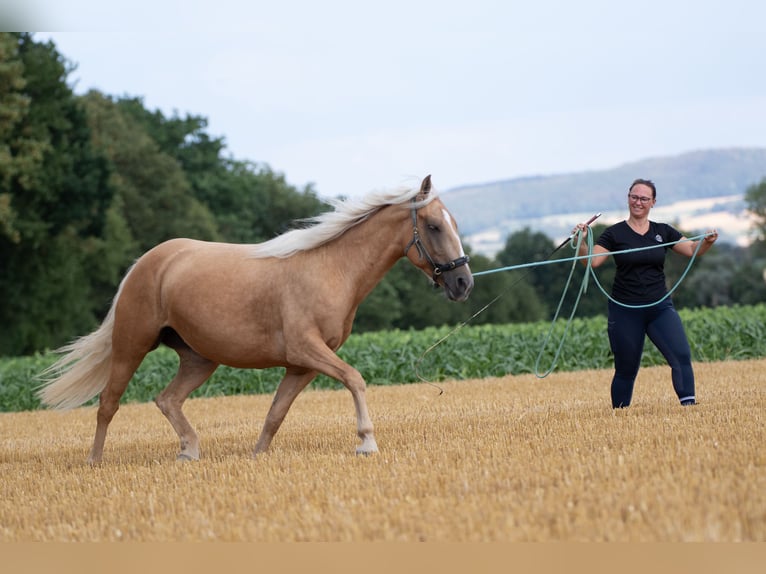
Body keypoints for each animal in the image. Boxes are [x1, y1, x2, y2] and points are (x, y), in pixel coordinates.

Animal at [38, 175, 473, 464]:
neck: (331, 269)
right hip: (132, 345)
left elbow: (276, 413)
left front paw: (257, 456)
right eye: (434, 225)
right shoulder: (307, 350)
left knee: (167, 399)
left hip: (199, 358)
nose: (463, 283)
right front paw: (366, 442)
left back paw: (189, 451)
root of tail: (146, 263)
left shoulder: (301, 366)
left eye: (454, 223)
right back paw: (95, 462)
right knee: (108, 404)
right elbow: (355, 378)